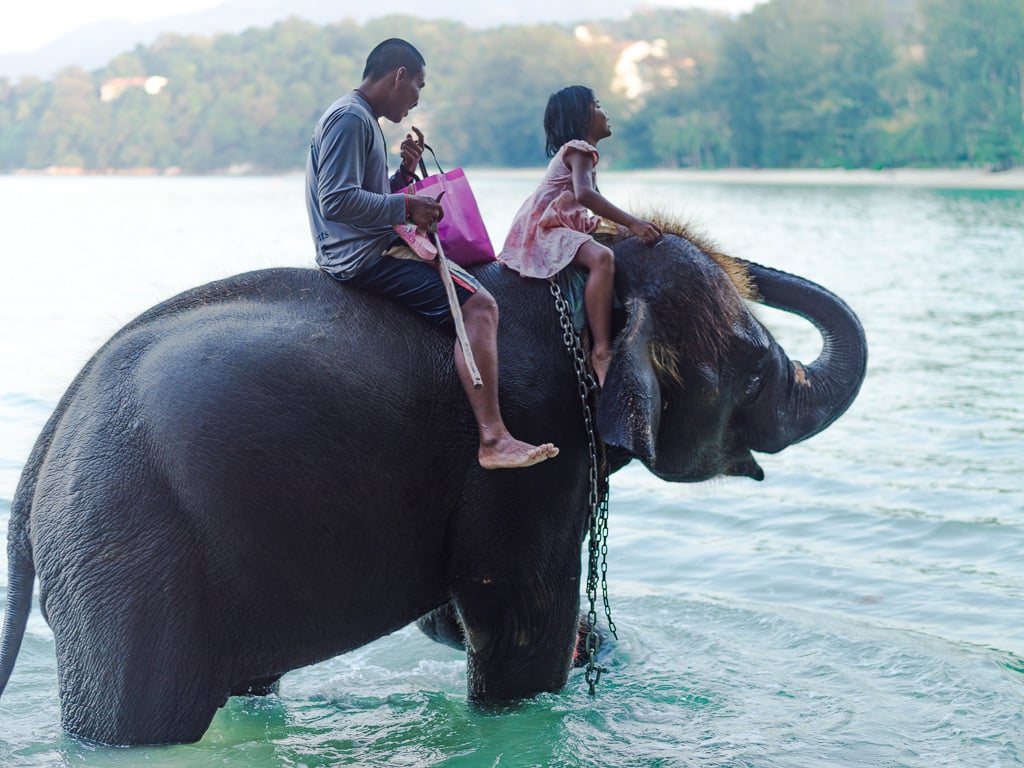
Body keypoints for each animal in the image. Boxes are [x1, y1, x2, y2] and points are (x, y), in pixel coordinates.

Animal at [0, 221, 868, 745]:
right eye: (753, 367)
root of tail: (39, 464)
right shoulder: (530, 444)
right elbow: (513, 622)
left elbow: (452, 613)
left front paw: (602, 647)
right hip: (129, 557)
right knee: (137, 717)